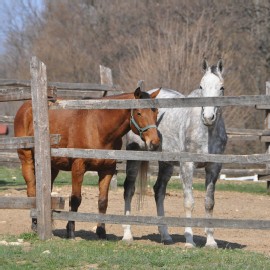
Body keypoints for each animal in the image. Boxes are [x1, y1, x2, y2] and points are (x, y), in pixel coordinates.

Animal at [14, 87, 160, 238]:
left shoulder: (107, 170)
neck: (98, 127)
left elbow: (103, 201)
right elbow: (75, 199)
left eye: (156, 112)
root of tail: (26, 107)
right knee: (32, 191)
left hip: (52, 167)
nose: (154, 143)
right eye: (139, 113)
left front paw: (101, 231)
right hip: (27, 160)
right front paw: (71, 230)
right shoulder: (78, 167)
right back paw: (35, 223)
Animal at [123, 59, 228, 249]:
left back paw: (165, 235)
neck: (206, 132)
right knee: (129, 189)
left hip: (166, 164)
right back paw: (127, 234)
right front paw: (189, 241)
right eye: (201, 86)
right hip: (135, 156)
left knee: (159, 191)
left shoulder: (214, 167)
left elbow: (209, 203)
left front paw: (210, 241)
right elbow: (189, 202)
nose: (208, 117)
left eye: (221, 87)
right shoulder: (187, 165)